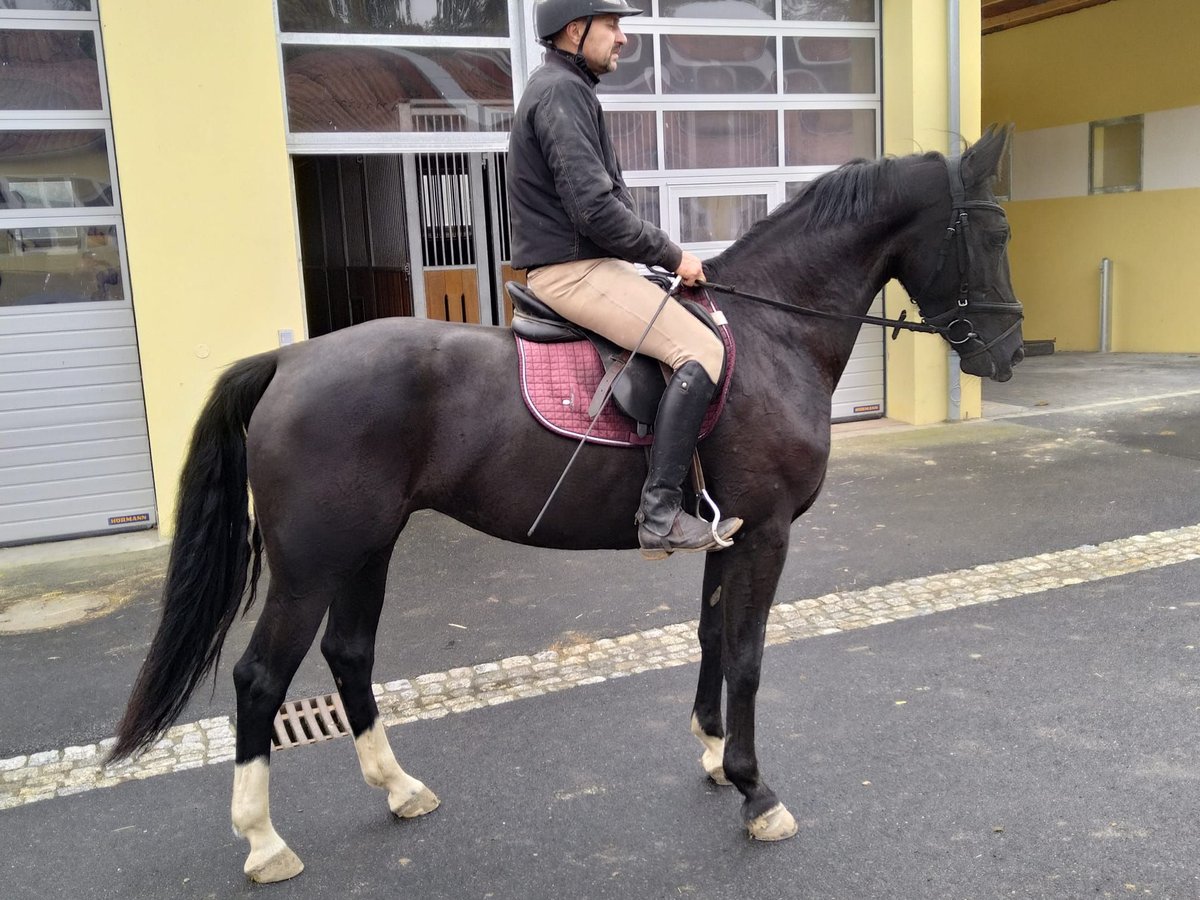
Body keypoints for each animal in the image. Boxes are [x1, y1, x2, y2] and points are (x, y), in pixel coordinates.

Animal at [112, 127, 1022, 883]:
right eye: (997, 234)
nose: (1011, 351)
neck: (772, 334)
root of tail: (289, 361)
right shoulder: (764, 534)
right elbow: (750, 656)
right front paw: (756, 792)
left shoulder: (726, 535)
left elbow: (712, 639)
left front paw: (710, 750)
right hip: (311, 564)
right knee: (261, 678)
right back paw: (265, 842)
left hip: (368, 547)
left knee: (350, 655)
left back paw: (399, 789)